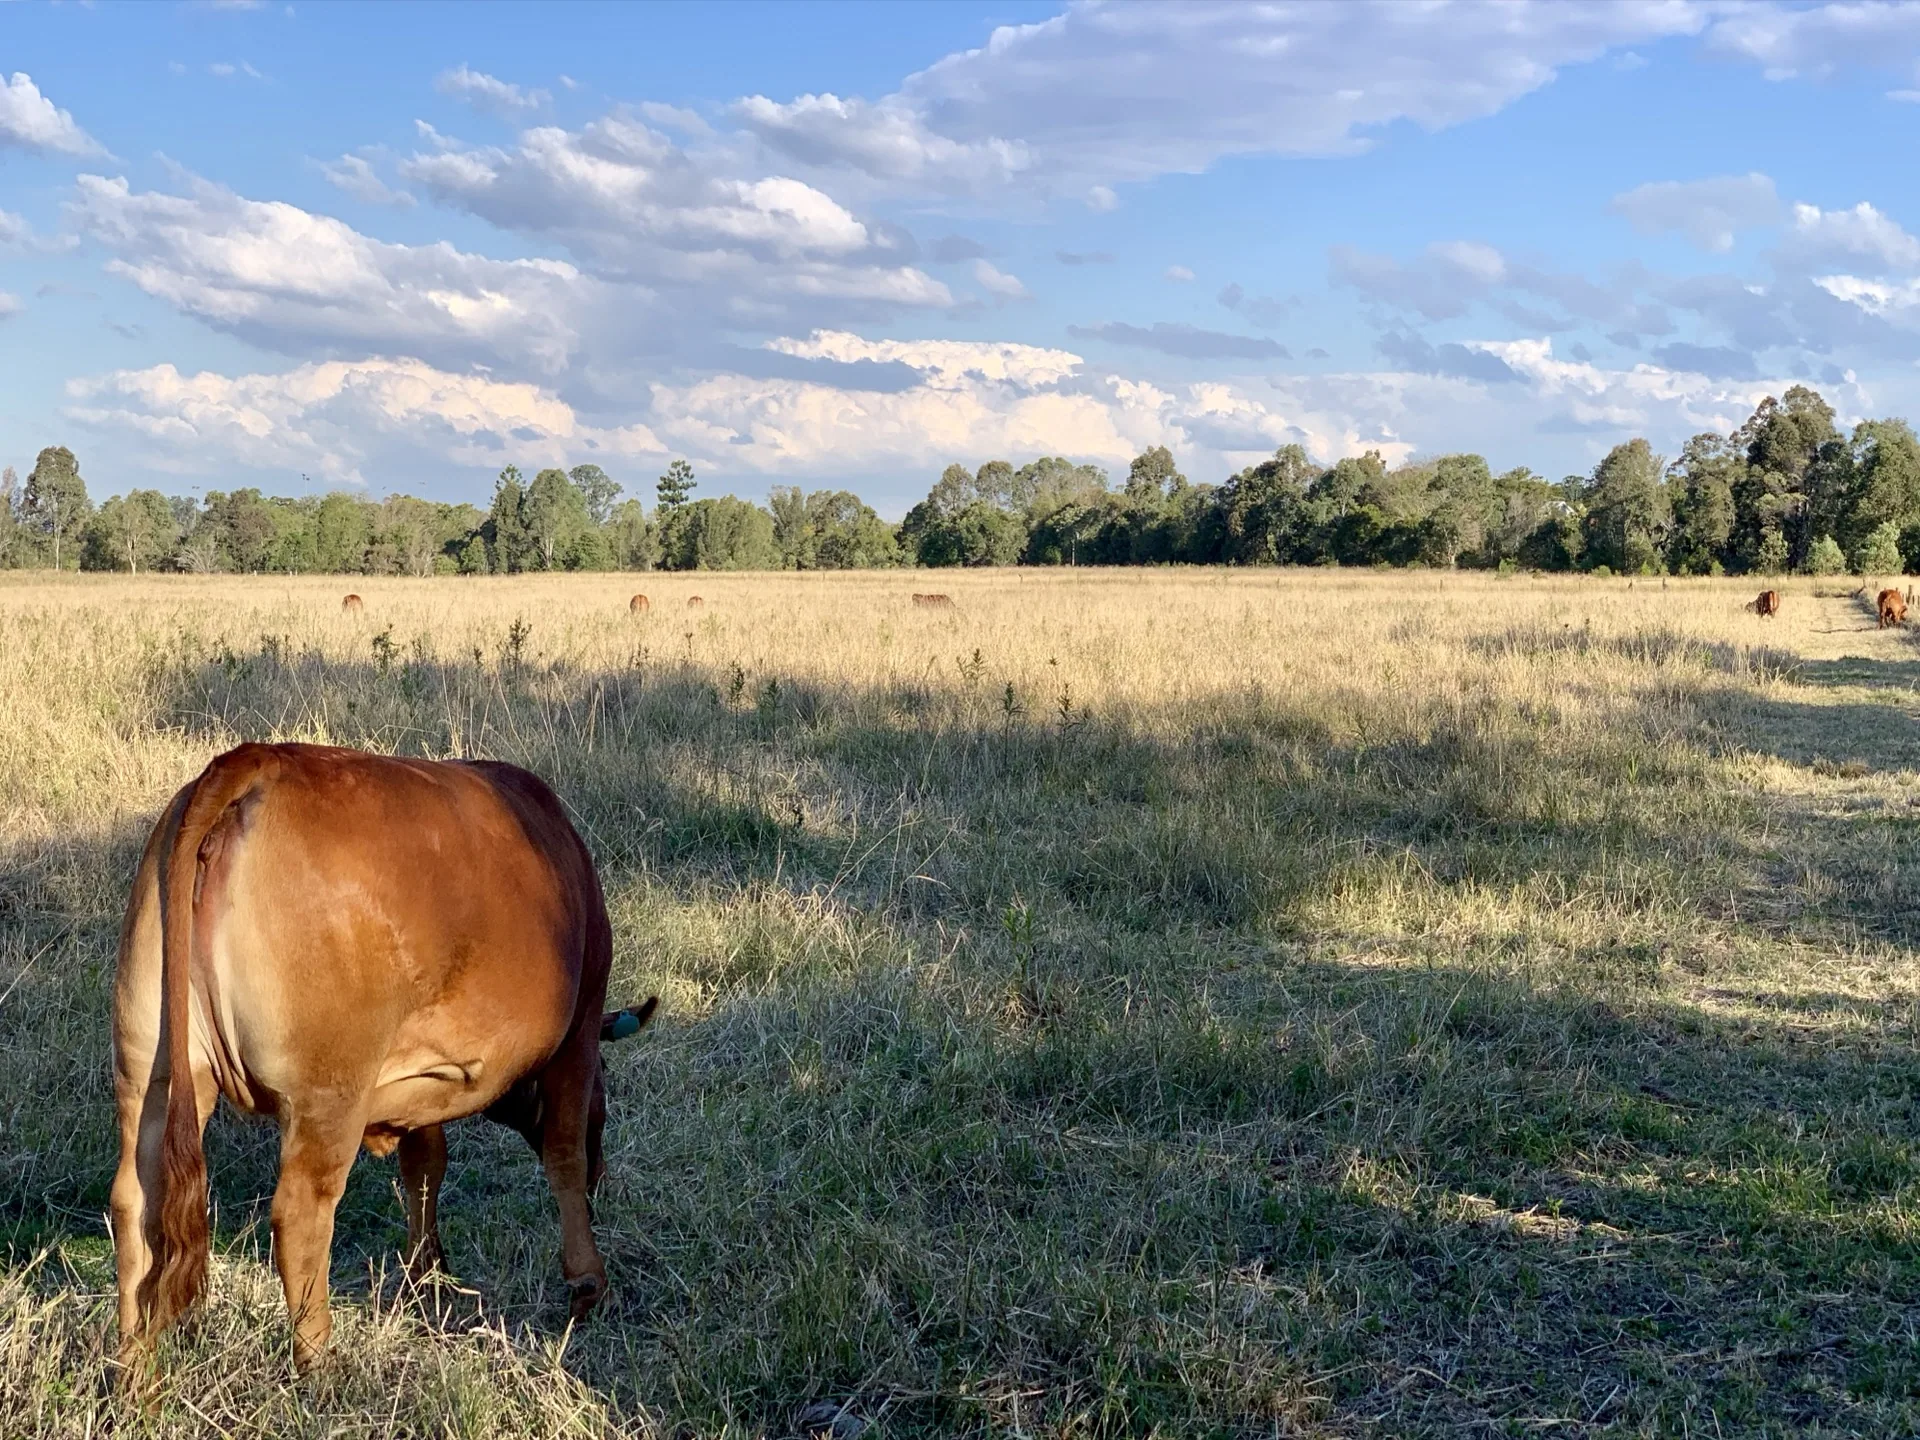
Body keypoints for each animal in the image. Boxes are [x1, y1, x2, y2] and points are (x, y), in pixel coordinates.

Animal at [111, 743, 655, 1374]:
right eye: (604, 1109)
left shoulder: (423, 1079)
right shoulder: (579, 1030)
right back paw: (319, 1365)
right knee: (300, 1217)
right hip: (328, 1094)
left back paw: (133, 1371)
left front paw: (426, 1278)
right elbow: (562, 1154)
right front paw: (588, 1282)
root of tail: (256, 759)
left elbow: (425, 1165)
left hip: (151, 1068)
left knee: (135, 1204)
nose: (603, 1178)